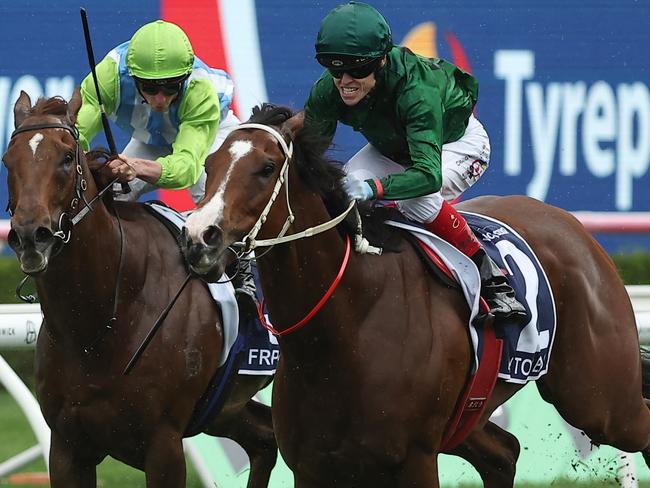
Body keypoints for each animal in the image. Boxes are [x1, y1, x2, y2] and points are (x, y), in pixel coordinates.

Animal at [4, 89, 278, 486]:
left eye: (67, 158)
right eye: (8, 160)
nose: (29, 237)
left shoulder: (163, 445)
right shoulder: (67, 446)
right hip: (225, 407)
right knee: (266, 441)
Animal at [180, 105, 648, 486]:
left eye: (266, 167)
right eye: (210, 163)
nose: (199, 238)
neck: (346, 326)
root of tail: (573, 226)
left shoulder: (415, 461)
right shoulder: (313, 465)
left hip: (600, 400)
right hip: (471, 415)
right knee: (505, 453)